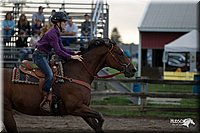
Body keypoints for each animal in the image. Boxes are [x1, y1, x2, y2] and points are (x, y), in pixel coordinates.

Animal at [2, 38, 136, 132]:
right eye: (119, 53)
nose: (133, 69)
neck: (76, 74)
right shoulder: (76, 108)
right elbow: (100, 116)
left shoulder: (83, 109)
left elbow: (96, 123)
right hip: (6, 109)